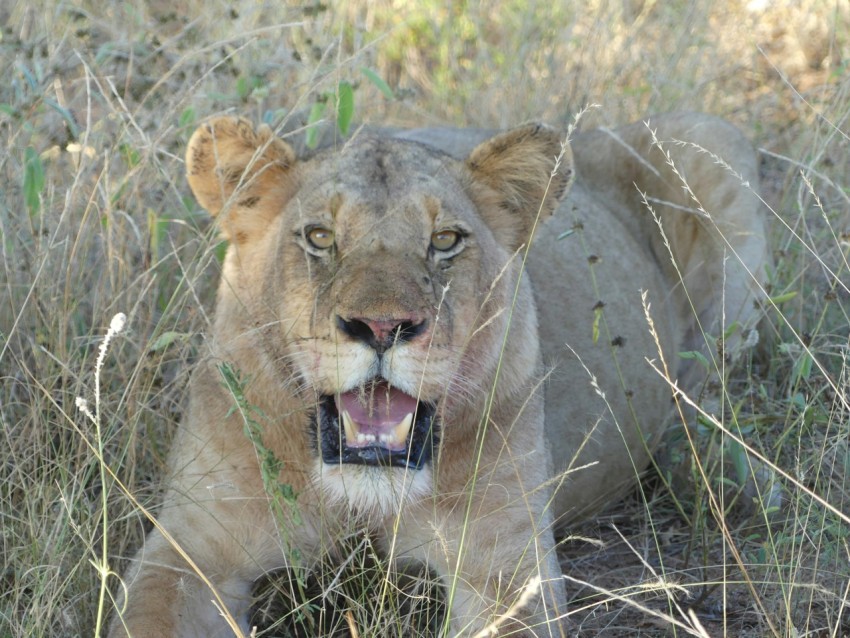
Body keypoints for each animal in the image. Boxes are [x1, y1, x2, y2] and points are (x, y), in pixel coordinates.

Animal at [107, 112, 768, 636]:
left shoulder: (507, 569)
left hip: (711, 151)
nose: (382, 327)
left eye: (445, 240)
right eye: (319, 236)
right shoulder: (190, 548)